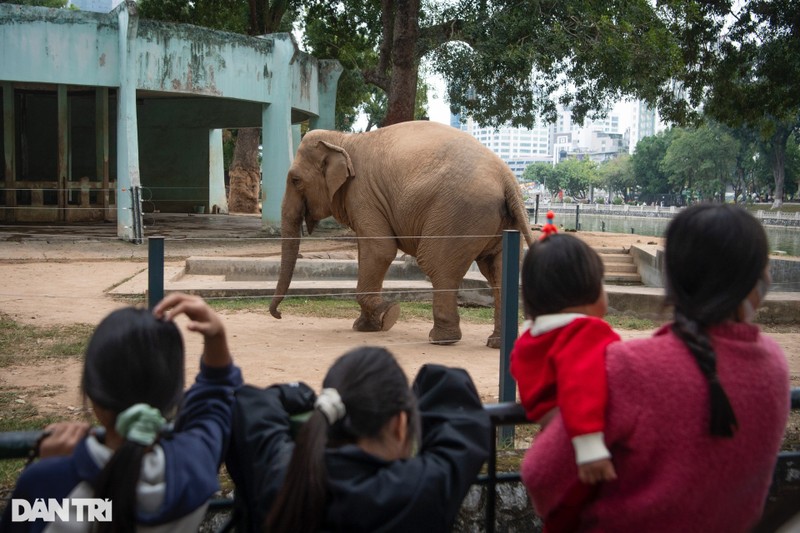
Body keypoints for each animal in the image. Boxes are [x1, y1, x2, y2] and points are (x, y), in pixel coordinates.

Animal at [266, 119, 536, 350]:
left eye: (295, 180)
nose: (278, 314)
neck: (343, 139)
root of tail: (508, 179)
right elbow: (367, 252)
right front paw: (365, 326)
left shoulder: (363, 194)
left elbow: (381, 251)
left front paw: (388, 315)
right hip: (496, 221)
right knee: (495, 271)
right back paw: (496, 343)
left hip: (458, 214)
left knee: (437, 264)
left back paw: (441, 339)